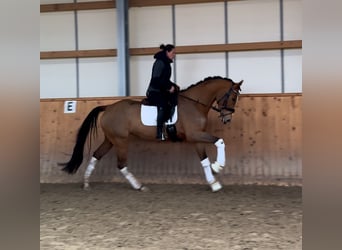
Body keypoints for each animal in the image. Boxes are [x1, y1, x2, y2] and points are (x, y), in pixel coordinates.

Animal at [60, 75, 242, 191]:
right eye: (233, 98)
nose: (227, 119)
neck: (195, 104)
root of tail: (108, 107)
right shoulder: (194, 134)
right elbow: (220, 141)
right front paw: (218, 166)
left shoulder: (196, 137)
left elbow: (204, 161)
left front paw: (214, 183)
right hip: (121, 141)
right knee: (121, 164)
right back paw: (139, 186)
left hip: (110, 139)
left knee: (97, 155)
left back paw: (86, 183)